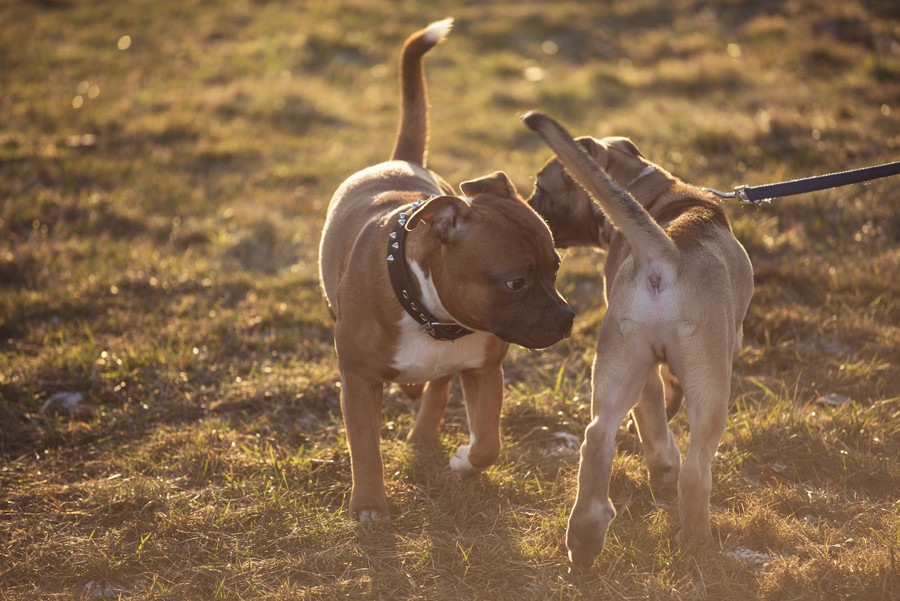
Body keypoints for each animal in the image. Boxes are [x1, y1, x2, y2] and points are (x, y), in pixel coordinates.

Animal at [318, 22, 568, 520]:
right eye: (516, 282)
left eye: (556, 267)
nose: (567, 318)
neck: (429, 313)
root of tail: (403, 159)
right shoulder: (357, 381)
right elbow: (365, 447)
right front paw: (369, 504)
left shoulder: (484, 371)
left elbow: (488, 441)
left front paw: (464, 460)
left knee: (435, 387)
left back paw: (423, 430)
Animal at [524, 111, 756, 568]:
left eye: (542, 189)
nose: (528, 211)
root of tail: (666, 253)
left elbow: (655, 410)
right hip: (709, 384)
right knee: (695, 470)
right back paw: (697, 541)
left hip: (620, 359)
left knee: (598, 438)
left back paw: (585, 537)